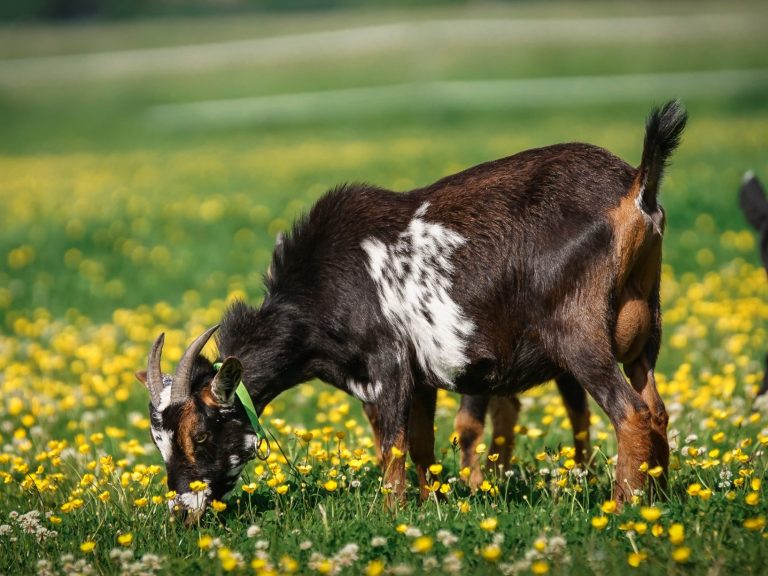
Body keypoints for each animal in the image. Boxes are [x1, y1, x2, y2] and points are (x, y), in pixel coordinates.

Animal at [137, 101, 686, 523]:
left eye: (200, 431)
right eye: (157, 440)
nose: (183, 511)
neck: (320, 293)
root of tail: (636, 189)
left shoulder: (389, 366)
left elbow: (393, 448)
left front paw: (391, 515)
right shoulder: (420, 378)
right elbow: (420, 445)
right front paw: (431, 505)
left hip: (577, 334)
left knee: (631, 414)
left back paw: (622, 508)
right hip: (646, 331)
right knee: (656, 409)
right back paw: (657, 499)